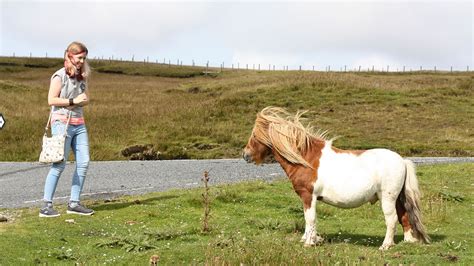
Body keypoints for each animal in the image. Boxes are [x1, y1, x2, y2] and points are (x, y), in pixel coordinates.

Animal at [243, 106, 432, 249]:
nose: (245, 155)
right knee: (403, 215)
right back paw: (408, 240)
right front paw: (310, 238)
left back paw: (385, 245)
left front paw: (309, 242)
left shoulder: (308, 196)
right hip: (397, 198)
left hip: (387, 198)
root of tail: (402, 160)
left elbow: (310, 218)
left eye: (254, 136)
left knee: (392, 219)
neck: (306, 159)